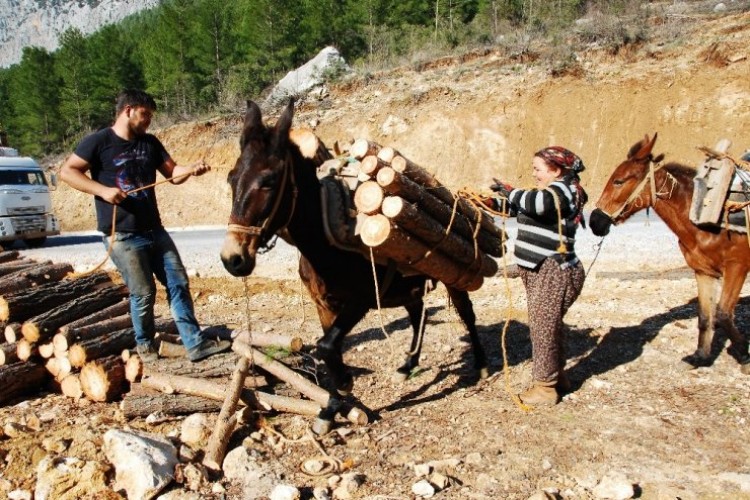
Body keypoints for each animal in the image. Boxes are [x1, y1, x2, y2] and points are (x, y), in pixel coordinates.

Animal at [220, 98, 490, 414]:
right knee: (418, 314)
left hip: (453, 277)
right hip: (406, 286)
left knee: (466, 313)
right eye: (231, 179)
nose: (232, 258)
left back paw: (481, 364)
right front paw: (331, 407)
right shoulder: (323, 305)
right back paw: (407, 365)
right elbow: (327, 348)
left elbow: (326, 346)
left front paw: (345, 383)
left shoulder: (362, 298)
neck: (325, 244)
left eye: (269, 182)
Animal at [592, 133, 750, 372]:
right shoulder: (703, 271)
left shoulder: (736, 267)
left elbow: (723, 314)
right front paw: (700, 356)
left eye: (619, 181)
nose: (595, 221)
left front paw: (744, 354)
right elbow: (705, 316)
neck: (702, 213)